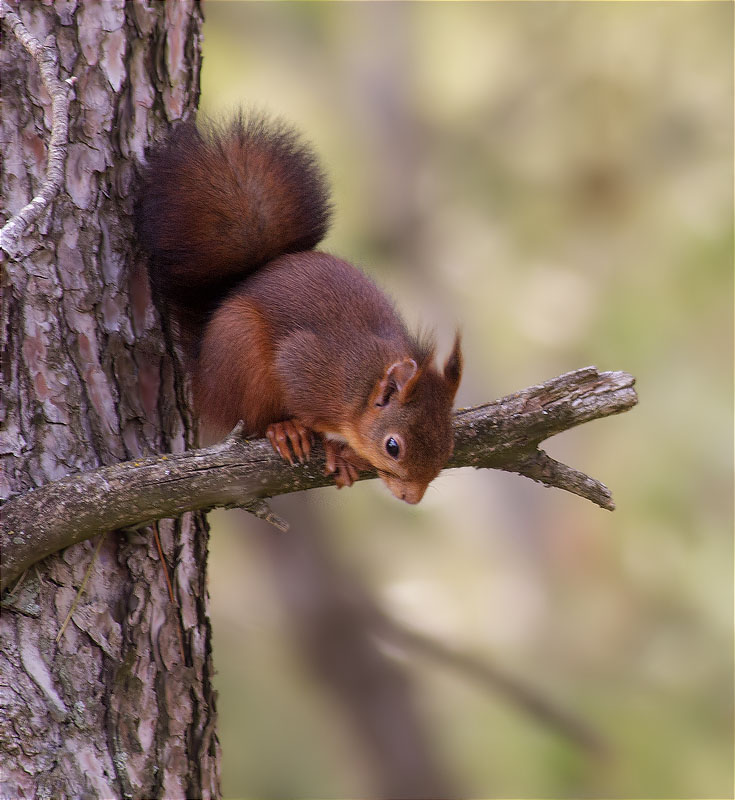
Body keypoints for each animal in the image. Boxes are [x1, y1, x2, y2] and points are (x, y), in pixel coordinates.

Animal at [135, 113, 462, 504]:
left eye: (448, 446)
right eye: (392, 446)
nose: (411, 497)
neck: (362, 386)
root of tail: (203, 375)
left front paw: (348, 454)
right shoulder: (308, 368)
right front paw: (330, 444)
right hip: (241, 350)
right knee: (252, 420)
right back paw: (283, 429)